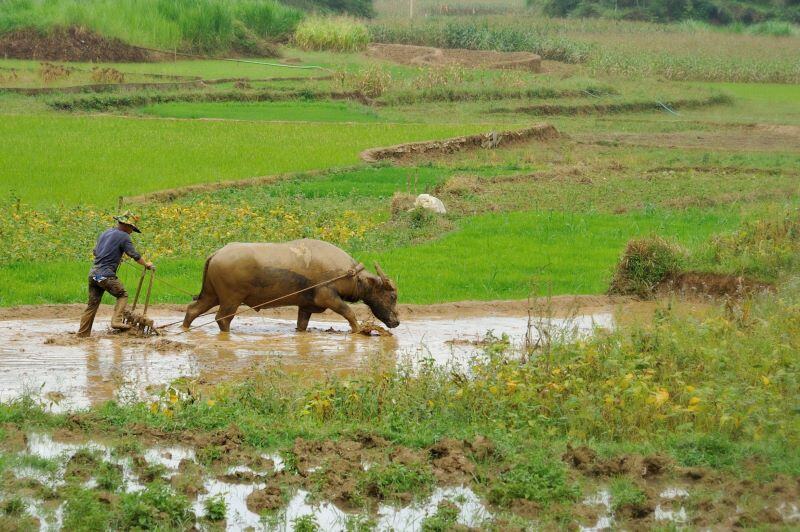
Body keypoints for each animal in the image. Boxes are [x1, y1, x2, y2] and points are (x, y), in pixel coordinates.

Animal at [185, 238, 404, 330]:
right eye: (392, 296)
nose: (397, 321)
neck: (348, 274)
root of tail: (217, 253)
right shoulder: (328, 297)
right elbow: (349, 313)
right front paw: (358, 331)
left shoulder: (305, 306)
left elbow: (302, 325)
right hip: (231, 299)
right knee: (222, 319)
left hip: (212, 295)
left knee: (192, 310)